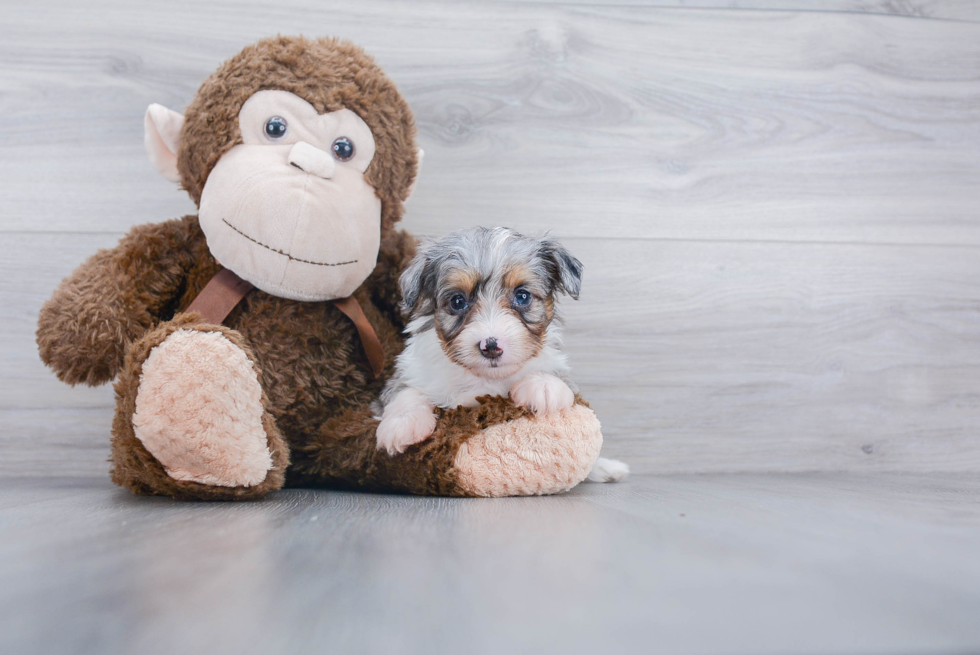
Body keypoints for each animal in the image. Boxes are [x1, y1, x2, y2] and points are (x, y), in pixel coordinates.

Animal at [376, 228, 628, 484]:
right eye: (458, 301)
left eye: (522, 296)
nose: (491, 346)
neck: (485, 379)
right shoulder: (409, 372)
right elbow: (407, 390)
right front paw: (402, 423)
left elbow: (553, 375)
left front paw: (543, 386)